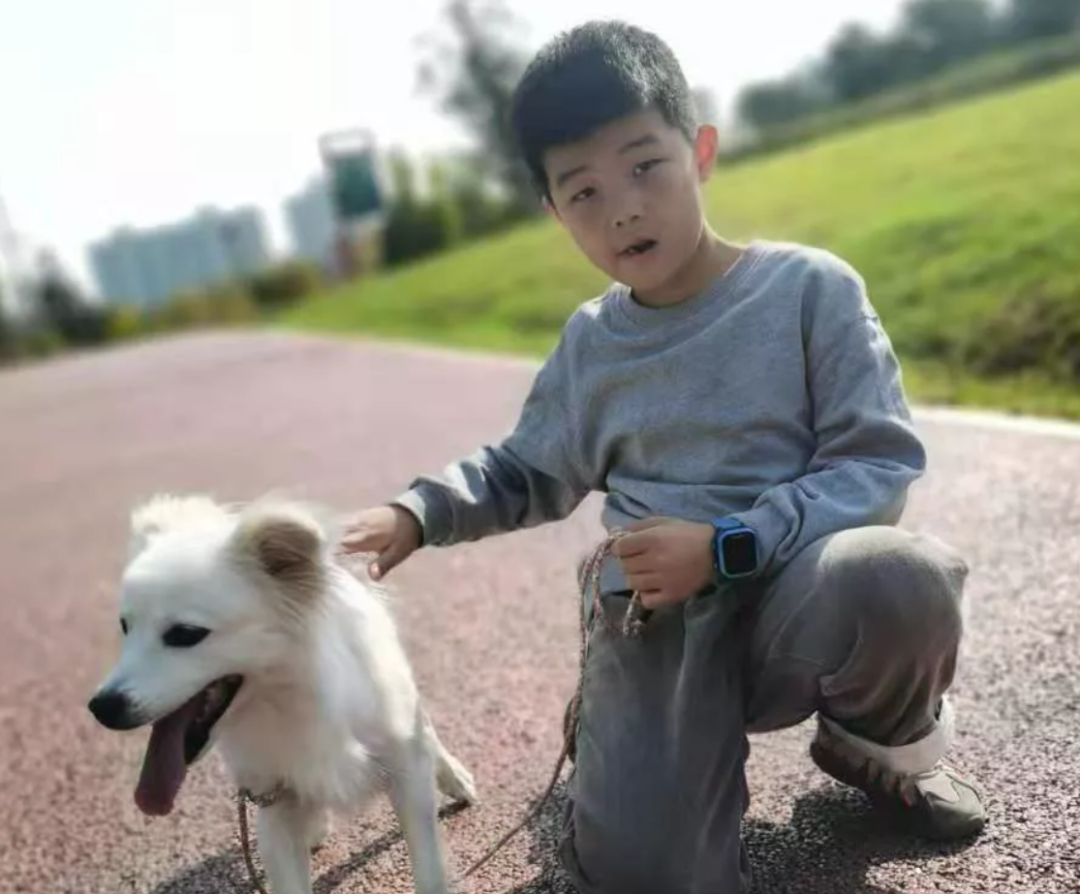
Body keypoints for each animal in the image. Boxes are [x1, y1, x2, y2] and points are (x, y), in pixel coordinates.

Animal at [87, 493, 477, 894]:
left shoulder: (406, 775)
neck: (292, 703)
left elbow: (429, 870)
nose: (101, 708)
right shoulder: (272, 804)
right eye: (125, 627)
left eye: (185, 634)